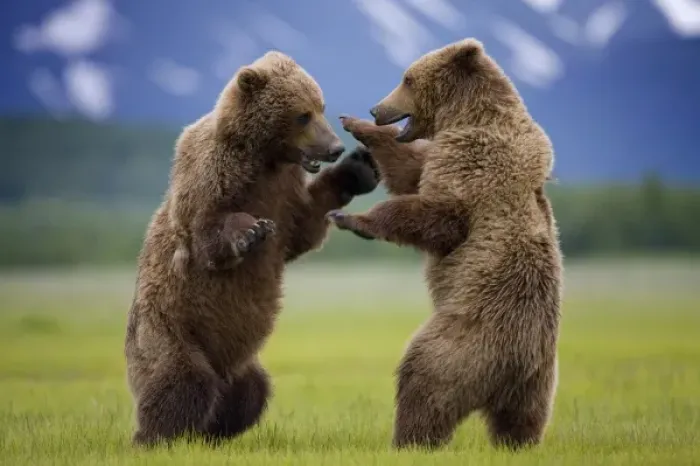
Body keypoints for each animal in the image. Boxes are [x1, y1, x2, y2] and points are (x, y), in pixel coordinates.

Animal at [124, 50, 380, 447]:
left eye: (320, 106)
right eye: (302, 114)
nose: (334, 147)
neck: (263, 158)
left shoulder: (285, 190)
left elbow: (302, 227)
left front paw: (359, 167)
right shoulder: (209, 172)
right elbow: (204, 234)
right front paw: (250, 231)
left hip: (239, 364)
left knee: (251, 391)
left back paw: (214, 432)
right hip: (165, 330)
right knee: (181, 381)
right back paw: (155, 438)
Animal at [328, 38, 563, 451]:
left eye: (407, 78)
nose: (376, 109)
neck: (464, 116)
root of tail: (515, 368)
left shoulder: (473, 164)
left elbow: (436, 214)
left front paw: (353, 218)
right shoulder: (443, 156)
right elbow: (410, 170)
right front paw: (355, 124)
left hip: (466, 344)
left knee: (425, 381)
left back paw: (408, 440)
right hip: (539, 383)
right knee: (524, 419)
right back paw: (517, 443)